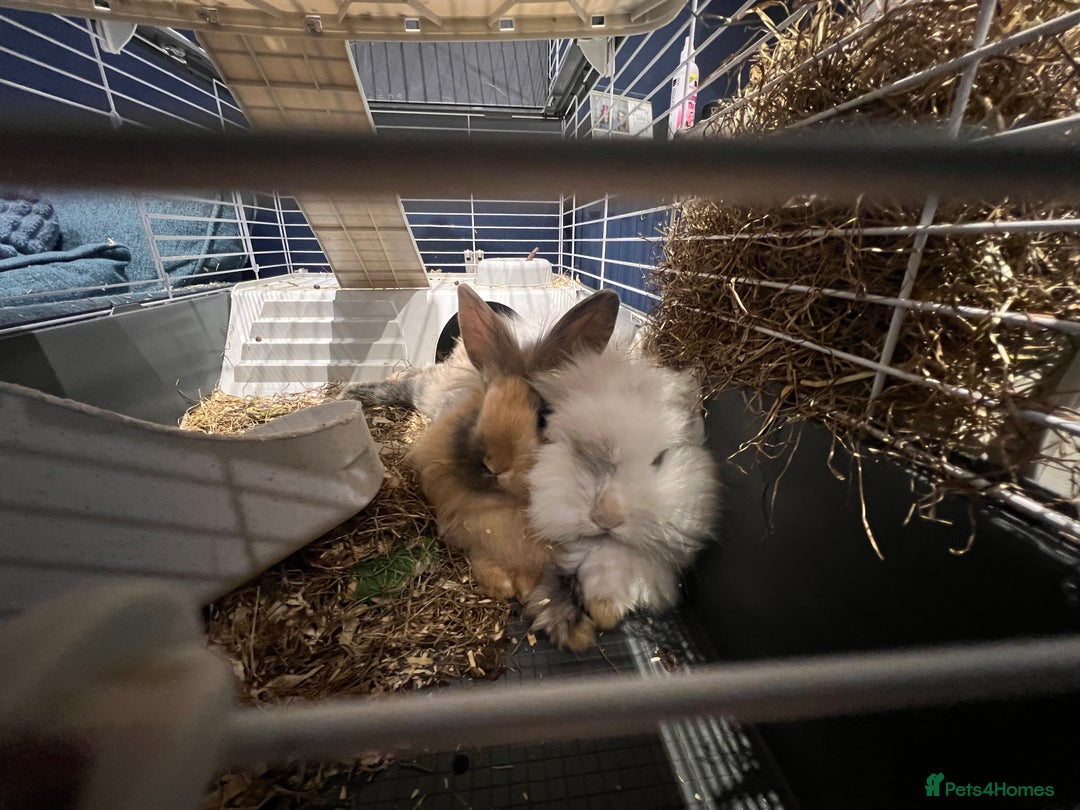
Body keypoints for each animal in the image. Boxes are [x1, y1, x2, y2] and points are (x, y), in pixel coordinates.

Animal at [393, 284, 622, 602]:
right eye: (479, 411)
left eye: (543, 417)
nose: (496, 465)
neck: (508, 506)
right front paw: (500, 587)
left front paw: (525, 589)